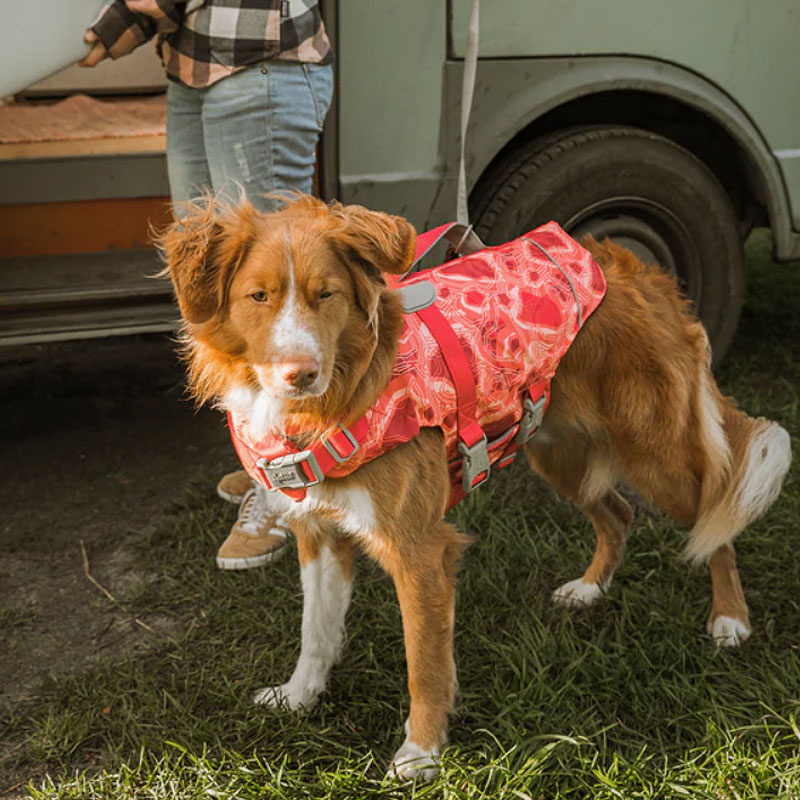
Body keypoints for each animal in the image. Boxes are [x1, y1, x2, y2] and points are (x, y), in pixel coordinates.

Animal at [161, 194, 788, 780]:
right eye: (258, 297)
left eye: (326, 295)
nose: (301, 374)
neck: (337, 397)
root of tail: (636, 269)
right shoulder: (319, 534)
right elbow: (315, 632)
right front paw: (298, 697)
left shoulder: (420, 551)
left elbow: (424, 664)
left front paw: (420, 754)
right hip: (555, 450)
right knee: (618, 514)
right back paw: (589, 589)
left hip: (655, 455)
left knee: (714, 518)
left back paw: (730, 620)